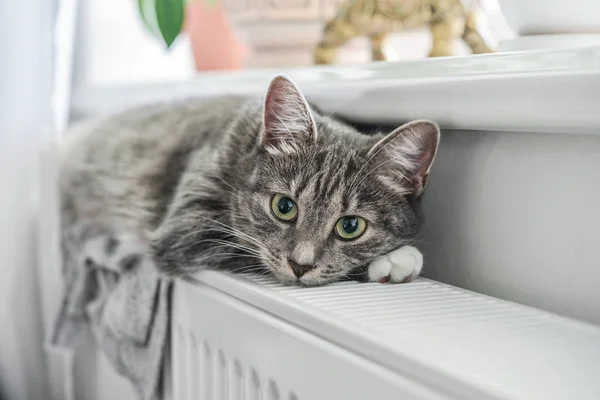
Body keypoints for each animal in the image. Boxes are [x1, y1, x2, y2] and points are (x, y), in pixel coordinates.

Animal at [61, 75, 438, 286]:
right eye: (284, 207)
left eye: (350, 226)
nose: (300, 266)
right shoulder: (188, 228)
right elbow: (250, 249)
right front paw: (397, 258)